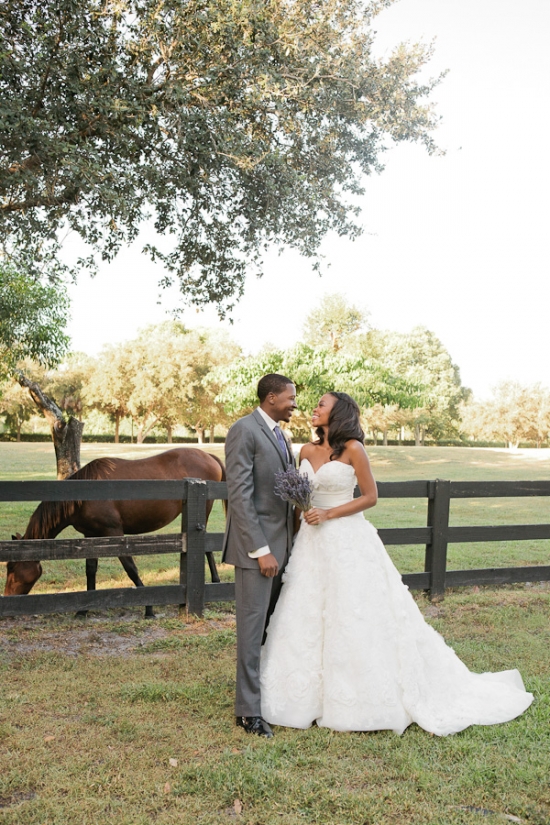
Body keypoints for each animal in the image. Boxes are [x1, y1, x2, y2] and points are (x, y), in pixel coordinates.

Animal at [5, 448, 225, 616]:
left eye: (12, 568)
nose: (7, 597)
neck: (84, 495)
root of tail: (208, 455)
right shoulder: (90, 536)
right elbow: (90, 569)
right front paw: (83, 610)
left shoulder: (115, 532)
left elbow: (130, 568)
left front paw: (148, 608)